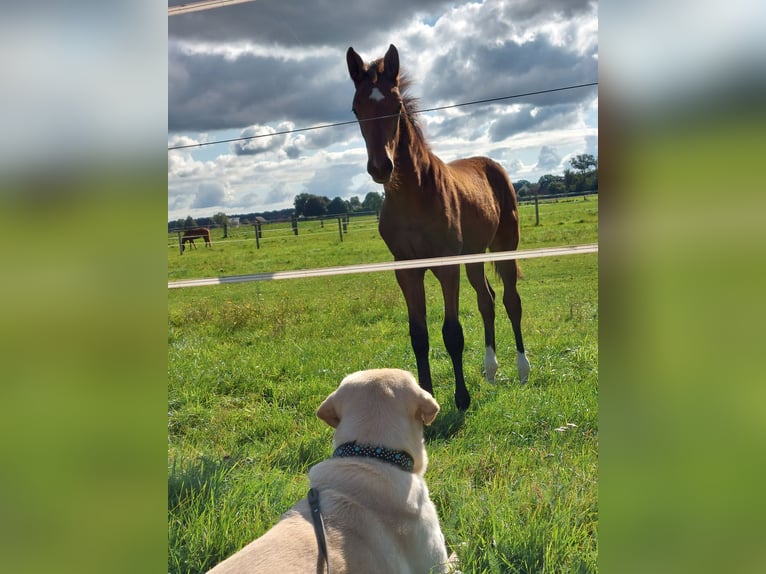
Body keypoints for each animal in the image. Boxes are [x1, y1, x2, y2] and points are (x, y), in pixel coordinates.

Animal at [346, 46, 532, 414]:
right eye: (356, 109)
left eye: (396, 105)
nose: (380, 167)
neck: (414, 194)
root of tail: (493, 164)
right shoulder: (406, 270)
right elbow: (419, 335)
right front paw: (425, 394)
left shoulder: (447, 267)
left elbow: (452, 332)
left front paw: (461, 399)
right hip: (473, 256)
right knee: (487, 300)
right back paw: (491, 370)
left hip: (505, 245)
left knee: (510, 300)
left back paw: (522, 369)